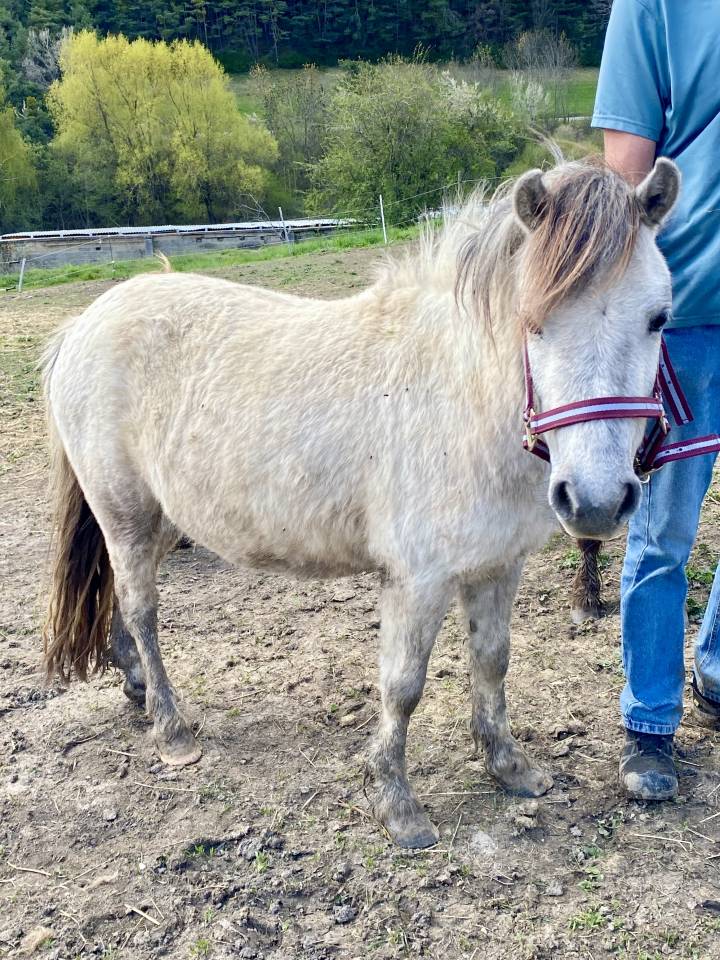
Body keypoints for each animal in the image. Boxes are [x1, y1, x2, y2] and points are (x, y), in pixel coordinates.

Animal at [41, 157, 679, 848]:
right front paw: (396, 804)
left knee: (117, 596)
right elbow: (403, 687)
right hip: (125, 513)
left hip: (161, 520)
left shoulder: (497, 566)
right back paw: (171, 728)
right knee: (142, 609)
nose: (596, 499)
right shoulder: (418, 579)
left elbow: (492, 662)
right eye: (532, 320)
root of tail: (84, 322)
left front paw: (508, 767)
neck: (458, 397)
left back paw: (134, 687)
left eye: (658, 319)